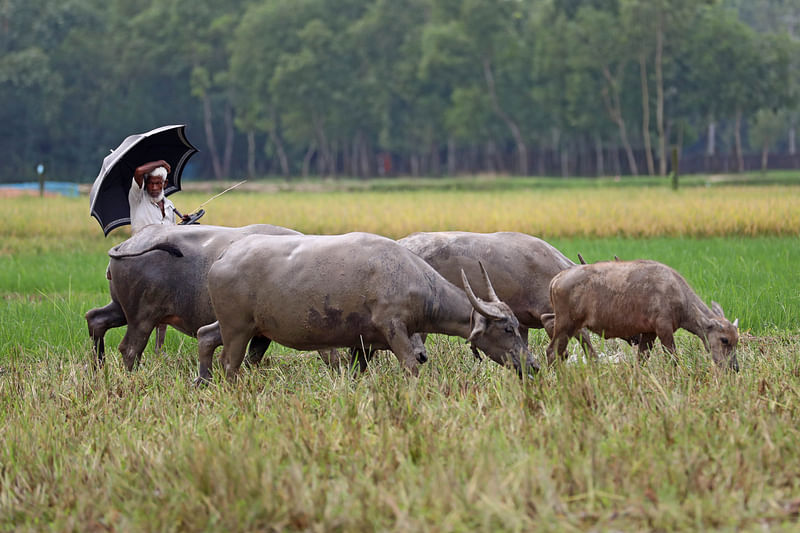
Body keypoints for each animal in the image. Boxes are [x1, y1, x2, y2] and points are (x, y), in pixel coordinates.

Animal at [83, 221, 300, 370]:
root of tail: (128, 244)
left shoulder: (261, 332)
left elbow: (252, 358)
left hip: (121, 307)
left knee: (96, 318)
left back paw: (99, 368)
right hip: (142, 316)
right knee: (130, 348)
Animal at [197, 231, 540, 380]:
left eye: (517, 327)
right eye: (508, 329)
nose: (533, 365)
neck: (411, 277)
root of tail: (224, 257)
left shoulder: (363, 343)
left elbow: (356, 372)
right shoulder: (393, 328)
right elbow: (411, 366)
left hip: (241, 326)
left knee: (205, 335)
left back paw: (203, 380)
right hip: (238, 329)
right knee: (230, 363)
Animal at [544, 258, 736, 368]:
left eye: (737, 340)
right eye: (724, 340)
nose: (734, 367)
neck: (678, 294)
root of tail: (556, 279)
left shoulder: (649, 333)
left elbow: (641, 360)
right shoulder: (663, 329)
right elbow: (673, 359)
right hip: (566, 326)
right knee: (552, 352)